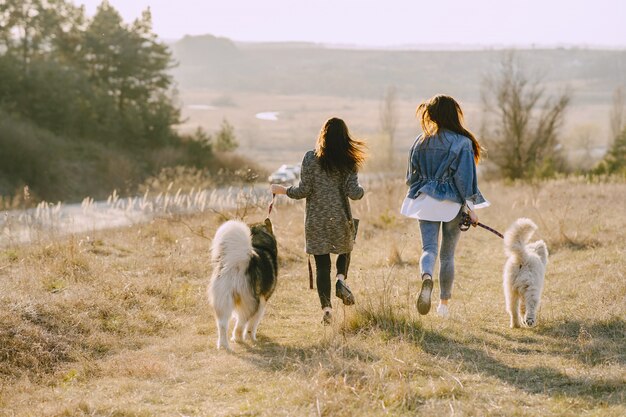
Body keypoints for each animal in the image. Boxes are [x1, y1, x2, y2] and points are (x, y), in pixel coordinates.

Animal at [208, 216, 276, 350]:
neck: (259, 244)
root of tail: (238, 264)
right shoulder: (262, 302)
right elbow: (252, 325)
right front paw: (252, 338)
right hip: (250, 303)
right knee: (241, 323)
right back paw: (238, 338)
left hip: (223, 301)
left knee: (222, 325)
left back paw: (223, 345)